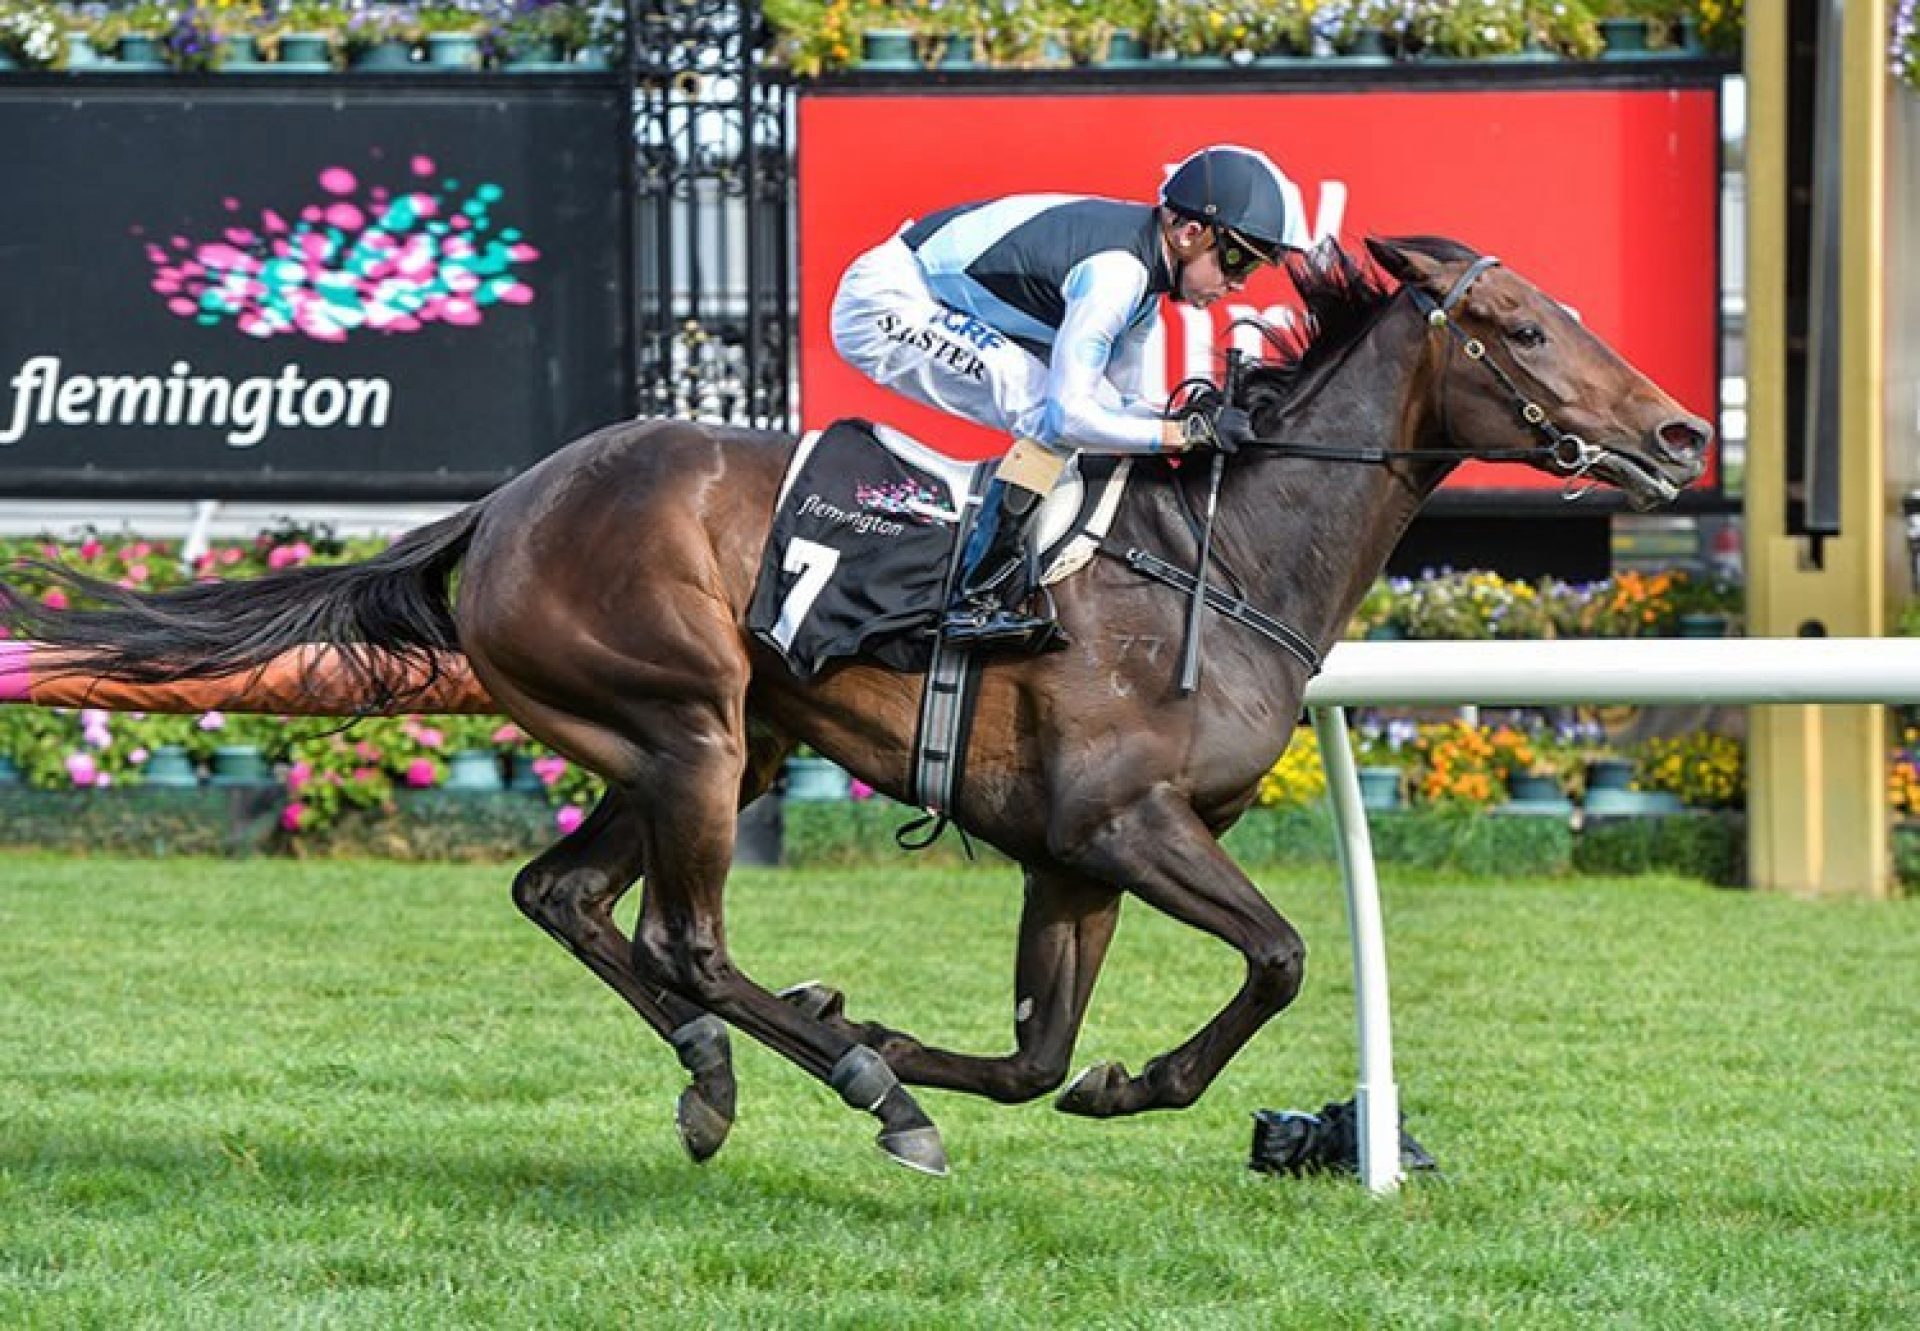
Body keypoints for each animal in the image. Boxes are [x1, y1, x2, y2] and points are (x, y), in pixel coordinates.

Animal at [3, 236, 1712, 1175]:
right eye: (1529, 327)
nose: (1686, 434)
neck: (1216, 560)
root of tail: (504, 503)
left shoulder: (1069, 859)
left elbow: (1038, 1055)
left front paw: (984, 1048)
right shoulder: (1123, 821)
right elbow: (1284, 956)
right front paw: (964, 1059)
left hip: (699, 743)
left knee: (564, 895)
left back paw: (720, 1075)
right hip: (691, 727)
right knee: (684, 933)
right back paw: (854, 1089)